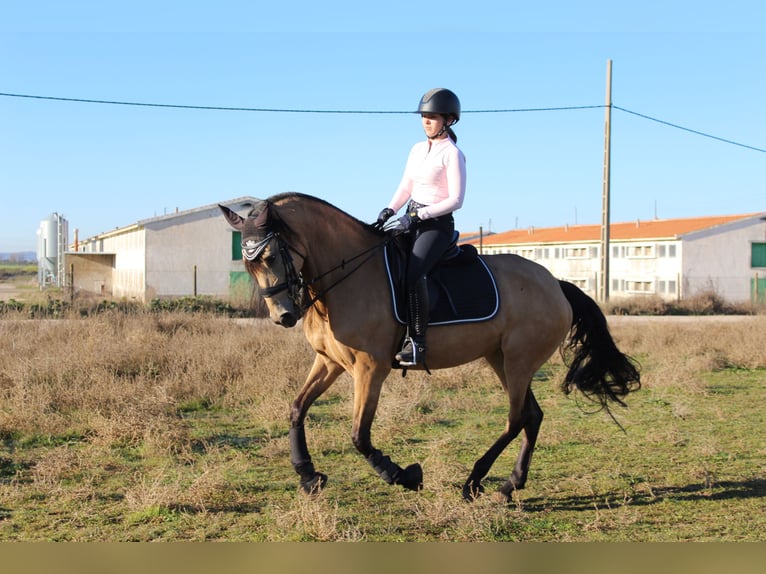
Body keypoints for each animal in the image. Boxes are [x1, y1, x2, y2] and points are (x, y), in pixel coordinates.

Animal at [220, 195, 640, 504]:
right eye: (248, 262)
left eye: (271, 256)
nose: (284, 316)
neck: (343, 280)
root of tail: (556, 283)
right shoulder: (330, 362)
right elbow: (296, 409)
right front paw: (308, 476)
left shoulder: (370, 369)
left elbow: (359, 435)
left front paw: (404, 475)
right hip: (500, 359)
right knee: (532, 417)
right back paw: (509, 485)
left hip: (519, 362)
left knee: (517, 417)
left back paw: (475, 482)